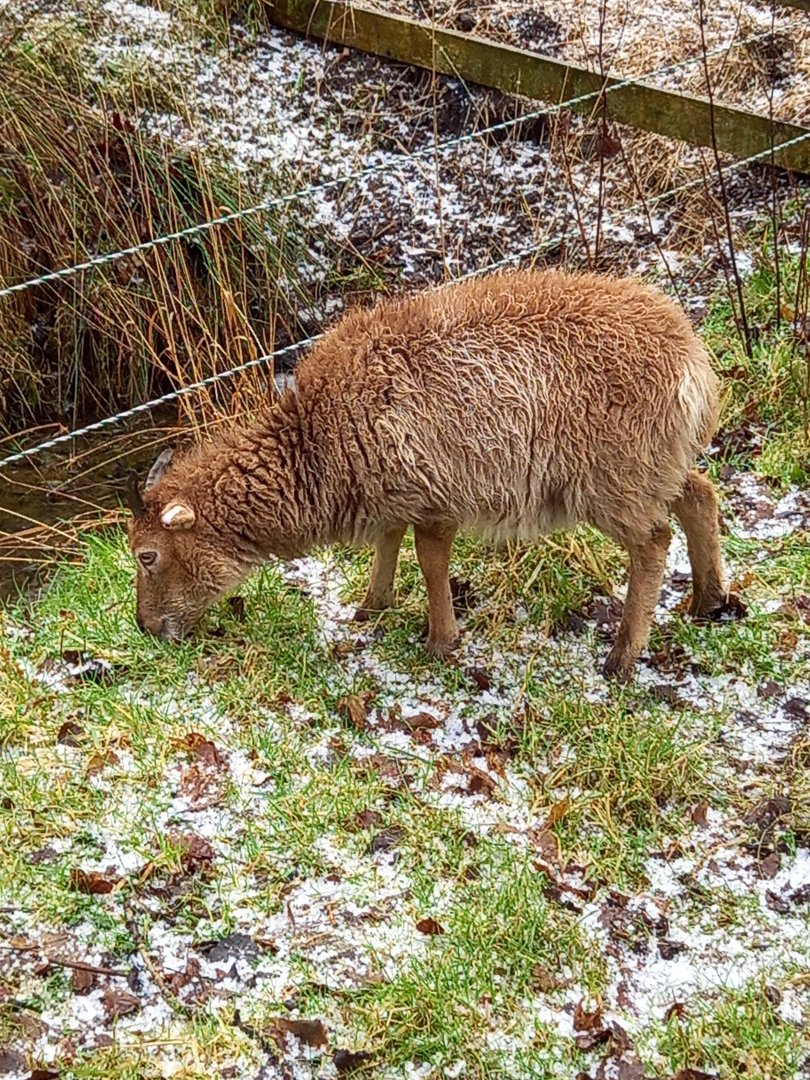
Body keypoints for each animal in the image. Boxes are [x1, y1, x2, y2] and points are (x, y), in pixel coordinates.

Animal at [126, 267, 727, 679]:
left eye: (147, 555)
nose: (145, 628)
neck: (314, 447)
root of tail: (692, 361)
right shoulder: (392, 491)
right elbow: (389, 542)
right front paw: (372, 606)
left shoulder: (437, 497)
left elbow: (430, 562)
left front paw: (440, 641)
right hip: (658, 462)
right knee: (701, 496)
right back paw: (708, 601)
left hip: (615, 477)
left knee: (653, 542)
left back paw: (623, 656)